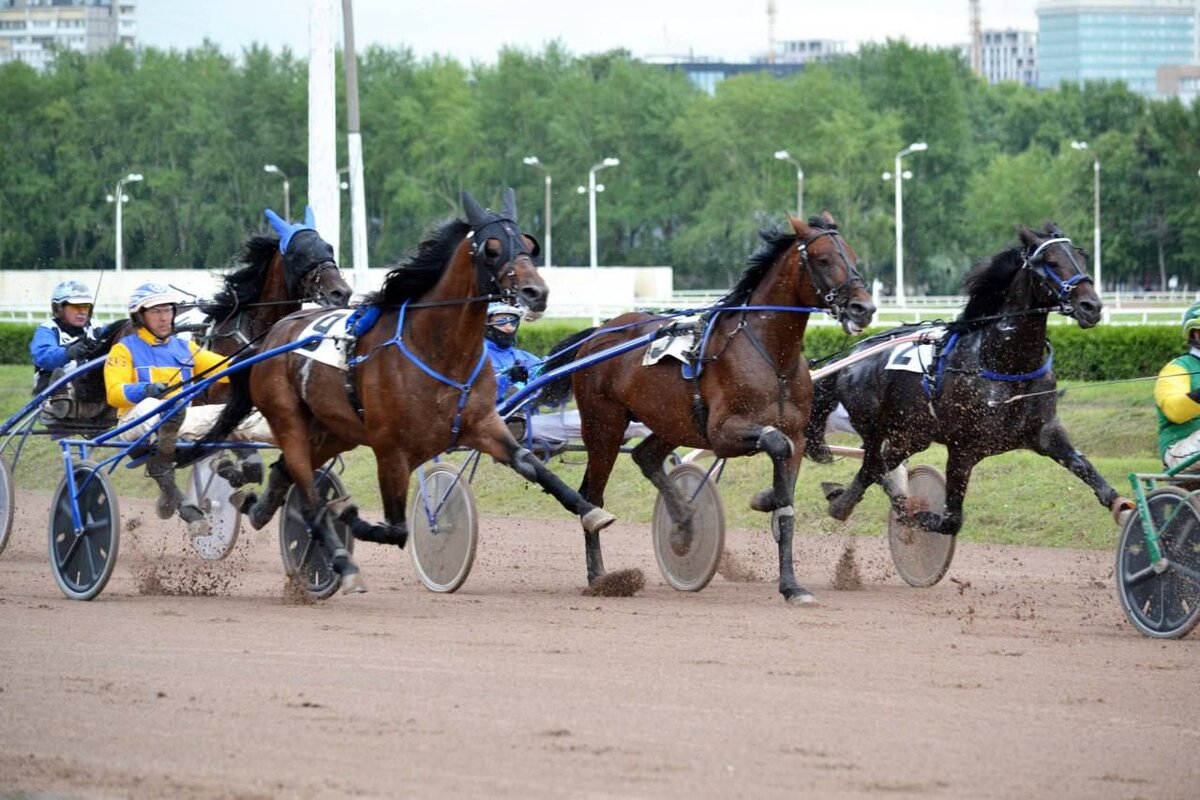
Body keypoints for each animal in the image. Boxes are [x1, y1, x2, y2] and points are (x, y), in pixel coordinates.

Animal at [193, 190, 619, 592]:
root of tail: (274, 335)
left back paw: (255, 506)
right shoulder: (391, 449)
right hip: (289, 418)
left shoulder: (482, 424)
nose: (535, 292)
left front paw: (590, 510)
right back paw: (340, 561)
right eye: (492, 248)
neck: (435, 347)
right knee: (309, 495)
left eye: (530, 244)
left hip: (335, 430)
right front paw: (347, 514)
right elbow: (397, 528)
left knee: (286, 471)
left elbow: (531, 464)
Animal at [542, 212, 873, 599]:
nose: (864, 308)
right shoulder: (723, 433)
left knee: (645, 456)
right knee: (592, 493)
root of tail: (598, 333)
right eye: (823, 259)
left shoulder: (796, 434)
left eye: (853, 256)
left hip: (672, 421)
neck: (771, 357)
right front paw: (767, 498)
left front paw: (791, 585)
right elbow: (775, 443)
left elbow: (787, 505)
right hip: (604, 425)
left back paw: (684, 520)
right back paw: (601, 577)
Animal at [801, 224, 1128, 537]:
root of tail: (851, 356)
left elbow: (1088, 471)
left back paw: (843, 499)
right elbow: (951, 520)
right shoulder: (963, 448)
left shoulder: (1046, 431)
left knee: (876, 465)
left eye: (1081, 257)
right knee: (873, 463)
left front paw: (1124, 510)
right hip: (872, 421)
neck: (1003, 364)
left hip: (911, 434)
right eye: (1050, 261)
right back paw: (856, 503)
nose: (1091, 306)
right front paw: (921, 517)